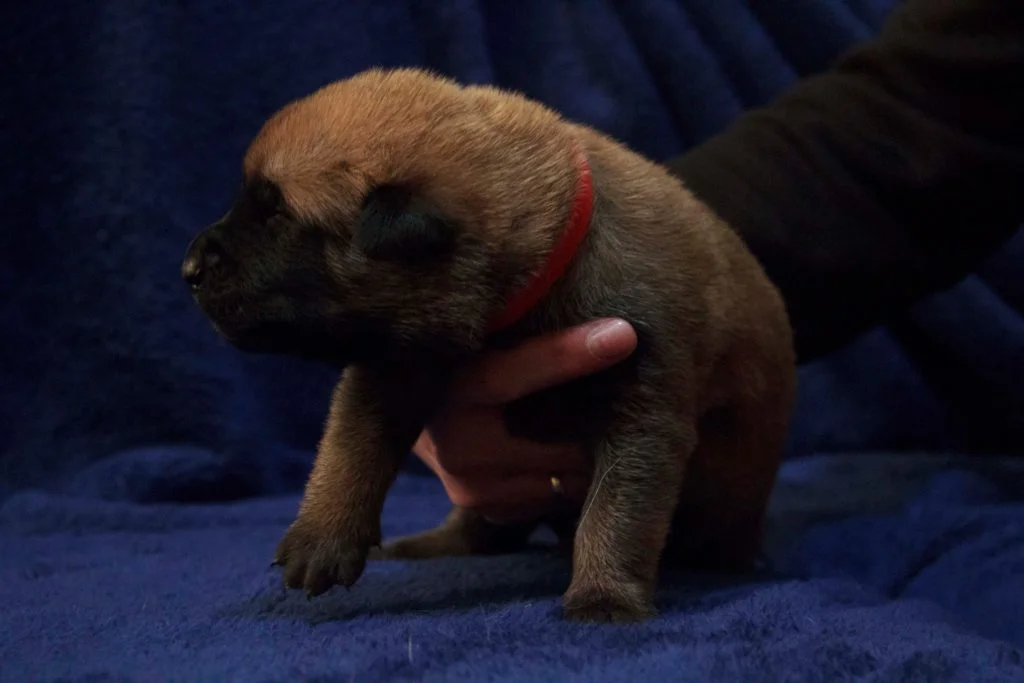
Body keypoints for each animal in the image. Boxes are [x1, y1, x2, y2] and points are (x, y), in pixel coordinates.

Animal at [180, 66, 794, 622]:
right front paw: (320, 536)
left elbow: (617, 507)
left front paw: (603, 596)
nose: (188, 269)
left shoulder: (644, 403)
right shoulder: (392, 363)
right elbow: (351, 443)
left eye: (278, 214)